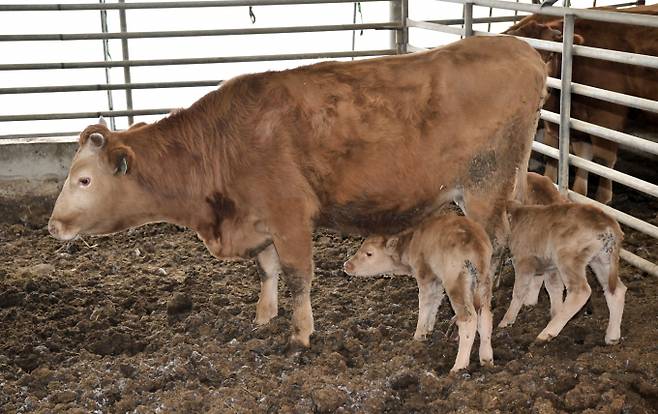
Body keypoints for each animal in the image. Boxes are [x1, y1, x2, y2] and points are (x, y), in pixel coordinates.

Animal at [48, 35, 544, 348]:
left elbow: (297, 276)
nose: (53, 225)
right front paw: (264, 318)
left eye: (84, 179)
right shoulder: (259, 219)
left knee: (495, 245)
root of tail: (523, 51)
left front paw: (300, 334)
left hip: (485, 184)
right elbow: (266, 270)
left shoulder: (289, 215)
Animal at [340, 213, 490, 372]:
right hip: (484, 283)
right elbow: (435, 301)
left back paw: (458, 367)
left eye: (369, 253)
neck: (412, 240)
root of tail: (475, 243)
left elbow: (425, 303)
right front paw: (429, 328)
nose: (347, 265)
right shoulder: (436, 279)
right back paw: (487, 359)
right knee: (485, 314)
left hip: (456, 284)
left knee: (469, 319)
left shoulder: (425, 274)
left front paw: (419, 335)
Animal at [498, 202, 624, 344]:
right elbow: (553, 288)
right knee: (615, 290)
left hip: (568, 258)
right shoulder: (550, 267)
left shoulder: (523, 261)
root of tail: (605, 220)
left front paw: (506, 321)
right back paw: (612, 337)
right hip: (602, 260)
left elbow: (519, 291)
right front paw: (548, 310)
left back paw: (546, 333)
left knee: (581, 291)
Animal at [504, 3, 652, 204]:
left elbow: (604, 160)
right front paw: (570, 188)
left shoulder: (607, 118)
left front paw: (602, 198)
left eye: (551, 55)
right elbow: (573, 155)